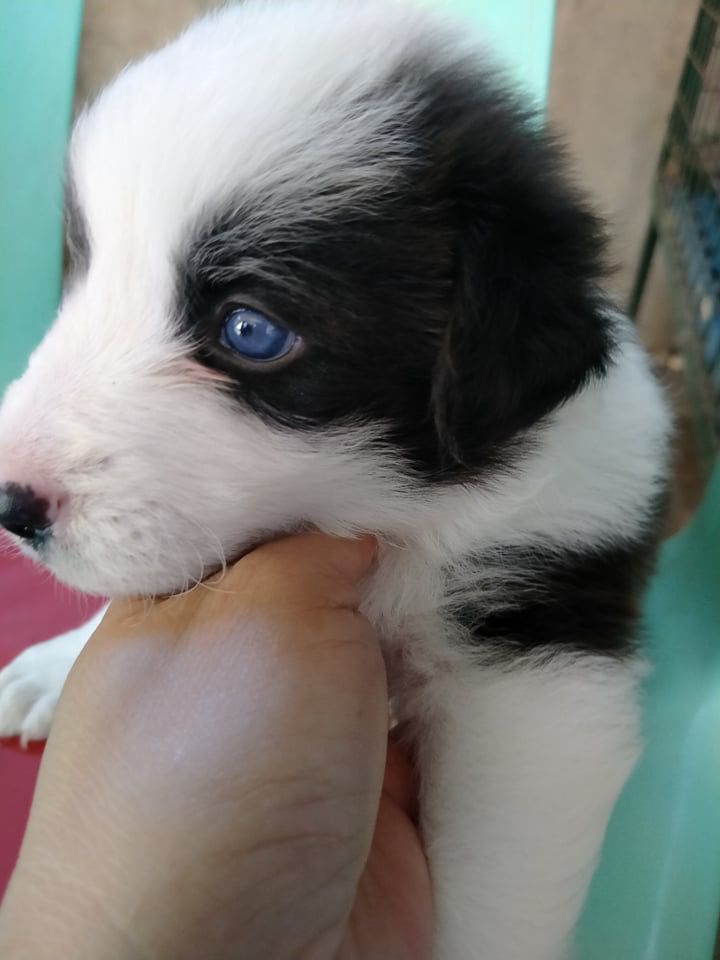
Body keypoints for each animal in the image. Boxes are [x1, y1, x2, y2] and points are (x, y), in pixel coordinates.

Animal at [0, 3, 668, 956]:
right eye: (83, 270)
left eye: (250, 330)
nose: (9, 503)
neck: (407, 519)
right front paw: (61, 663)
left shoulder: (536, 655)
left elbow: (492, 888)